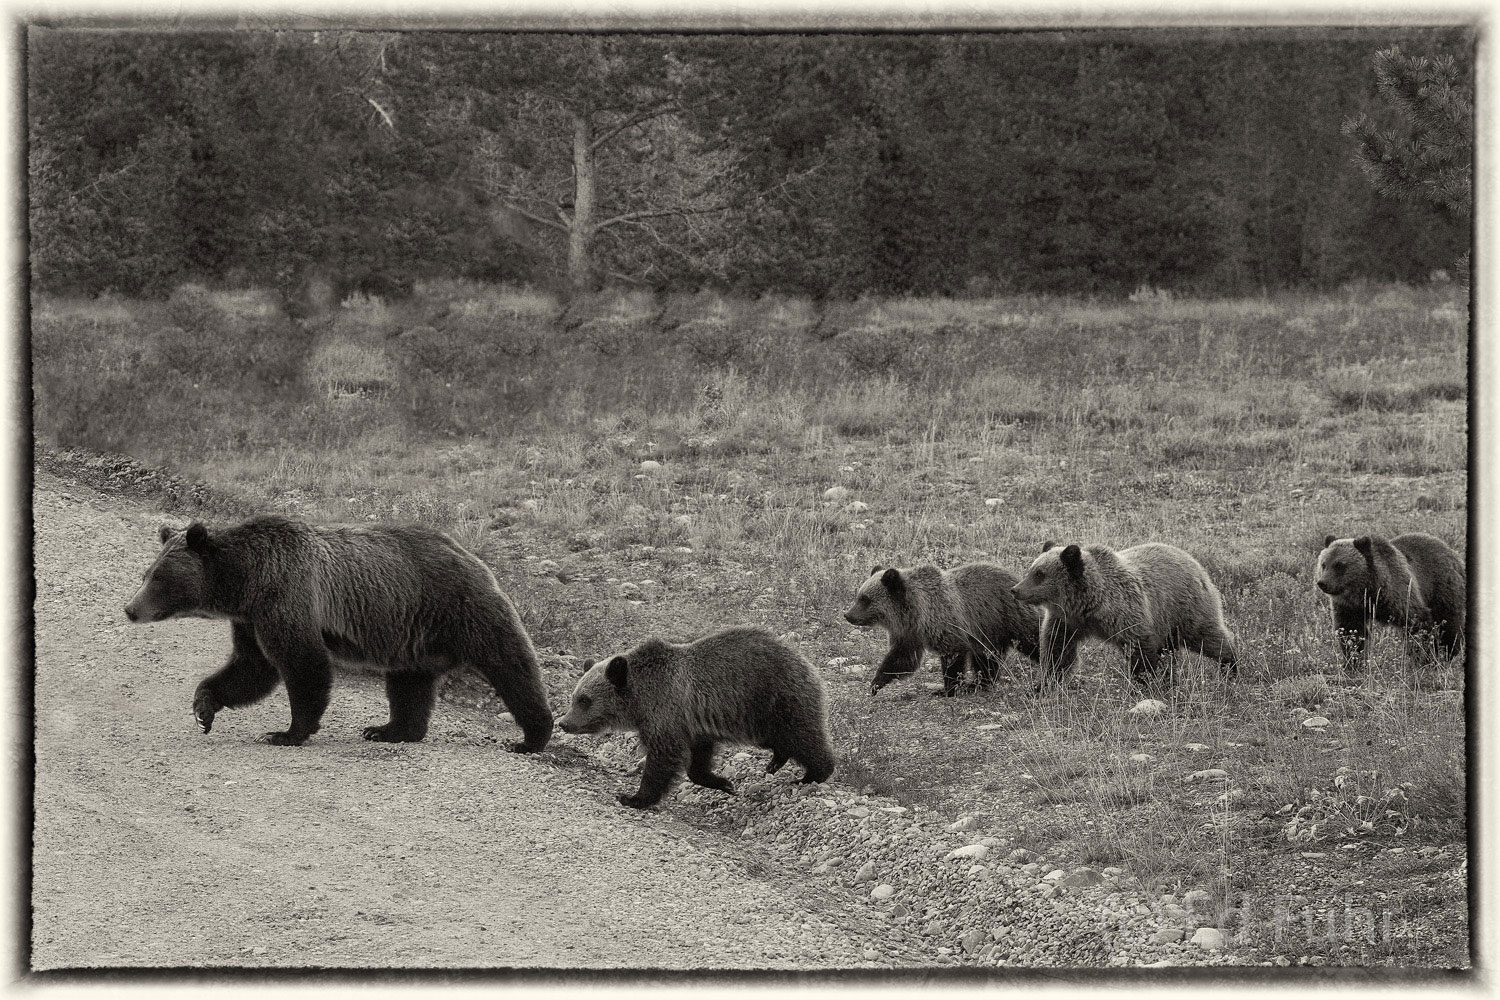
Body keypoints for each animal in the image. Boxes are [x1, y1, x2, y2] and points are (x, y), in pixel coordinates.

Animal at [123, 515, 555, 749]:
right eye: (146, 573)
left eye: (158, 578)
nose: (130, 608)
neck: (246, 582)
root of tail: (470, 554)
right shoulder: (251, 619)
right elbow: (251, 668)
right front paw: (204, 708)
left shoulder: (287, 595)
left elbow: (302, 663)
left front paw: (287, 732)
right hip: (411, 634)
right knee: (409, 684)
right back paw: (389, 729)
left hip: (459, 606)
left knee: (510, 664)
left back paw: (532, 736)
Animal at [555, 629, 834, 809]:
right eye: (574, 697)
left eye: (584, 700)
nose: (564, 723)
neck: (639, 700)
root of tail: (805, 661)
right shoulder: (695, 724)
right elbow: (698, 762)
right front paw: (724, 782)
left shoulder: (666, 712)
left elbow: (663, 758)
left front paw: (634, 798)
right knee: (782, 739)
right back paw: (776, 762)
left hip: (775, 699)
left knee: (802, 736)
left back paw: (812, 775)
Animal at [846, 563, 1044, 695]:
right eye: (859, 595)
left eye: (865, 599)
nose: (848, 615)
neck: (914, 614)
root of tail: (1016, 579)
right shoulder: (908, 634)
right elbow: (901, 659)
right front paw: (876, 683)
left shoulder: (946, 624)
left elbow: (953, 657)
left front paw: (947, 690)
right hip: (988, 632)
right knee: (987, 659)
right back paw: (979, 684)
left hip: (1010, 617)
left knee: (1035, 639)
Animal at [1008, 539, 1242, 689]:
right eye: (1032, 569)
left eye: (1039, 574)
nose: (1015, 589)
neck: (1088, 605)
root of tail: (1193, 561)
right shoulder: (1067, 621)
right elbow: (1058, 651)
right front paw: (1043, 684)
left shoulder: (1126, 613)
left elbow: (1140, 648)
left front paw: (1142, 682)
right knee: (1171, 650)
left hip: (1185, 609)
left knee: (1208, 637)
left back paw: (1230, 666)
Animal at [1314, 530, 1464, 671]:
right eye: (1324, 564)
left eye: (1340, 565)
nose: (1322, 583)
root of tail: (1453, 553)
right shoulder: (1349, 608)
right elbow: (1351, 631)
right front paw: (1353, 663)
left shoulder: (1399, 594)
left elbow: (1418, 623)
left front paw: (1425, 659)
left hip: (1442, 588)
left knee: (1448, 622)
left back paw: (1448, 653)